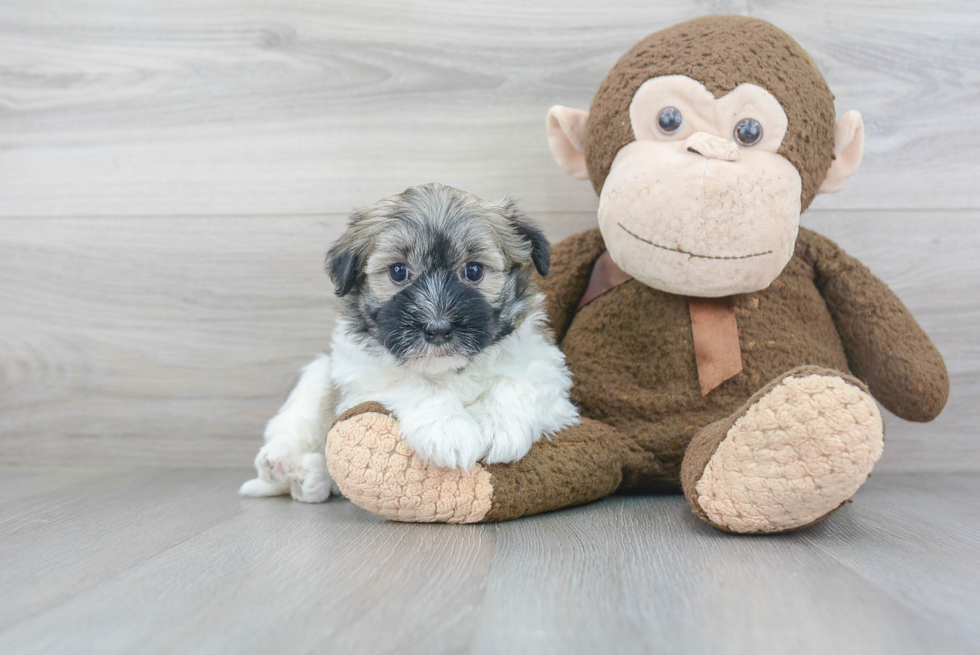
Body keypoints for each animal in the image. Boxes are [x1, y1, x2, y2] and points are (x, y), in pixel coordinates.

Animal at [240, 183, 580, 502]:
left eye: (473, 270)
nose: (438, 328)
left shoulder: (547, 370)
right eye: (398, 272)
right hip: (314, 380)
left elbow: (520, 383)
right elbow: (415, 384)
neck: (449, 370)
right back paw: (285, 465)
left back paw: (307, 477)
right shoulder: (362, 380)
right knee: (291, 430)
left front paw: (500, 425)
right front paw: (449, 430)